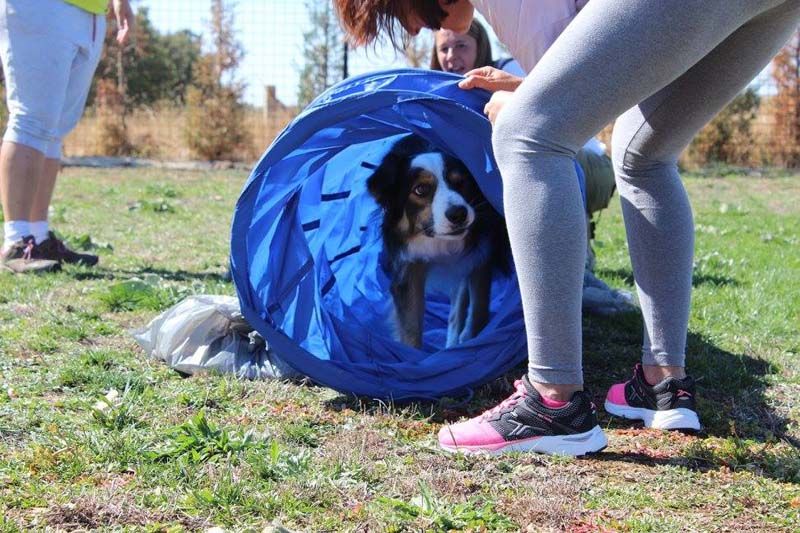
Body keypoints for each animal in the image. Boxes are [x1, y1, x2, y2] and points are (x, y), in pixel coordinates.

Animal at [368, 135, 510, 348]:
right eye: (420, 189)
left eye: (461, 182)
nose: (458, 214)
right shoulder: (408, 267)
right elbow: (410, 327)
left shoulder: (480, 254)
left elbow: (478, 309)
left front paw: (472, 338)